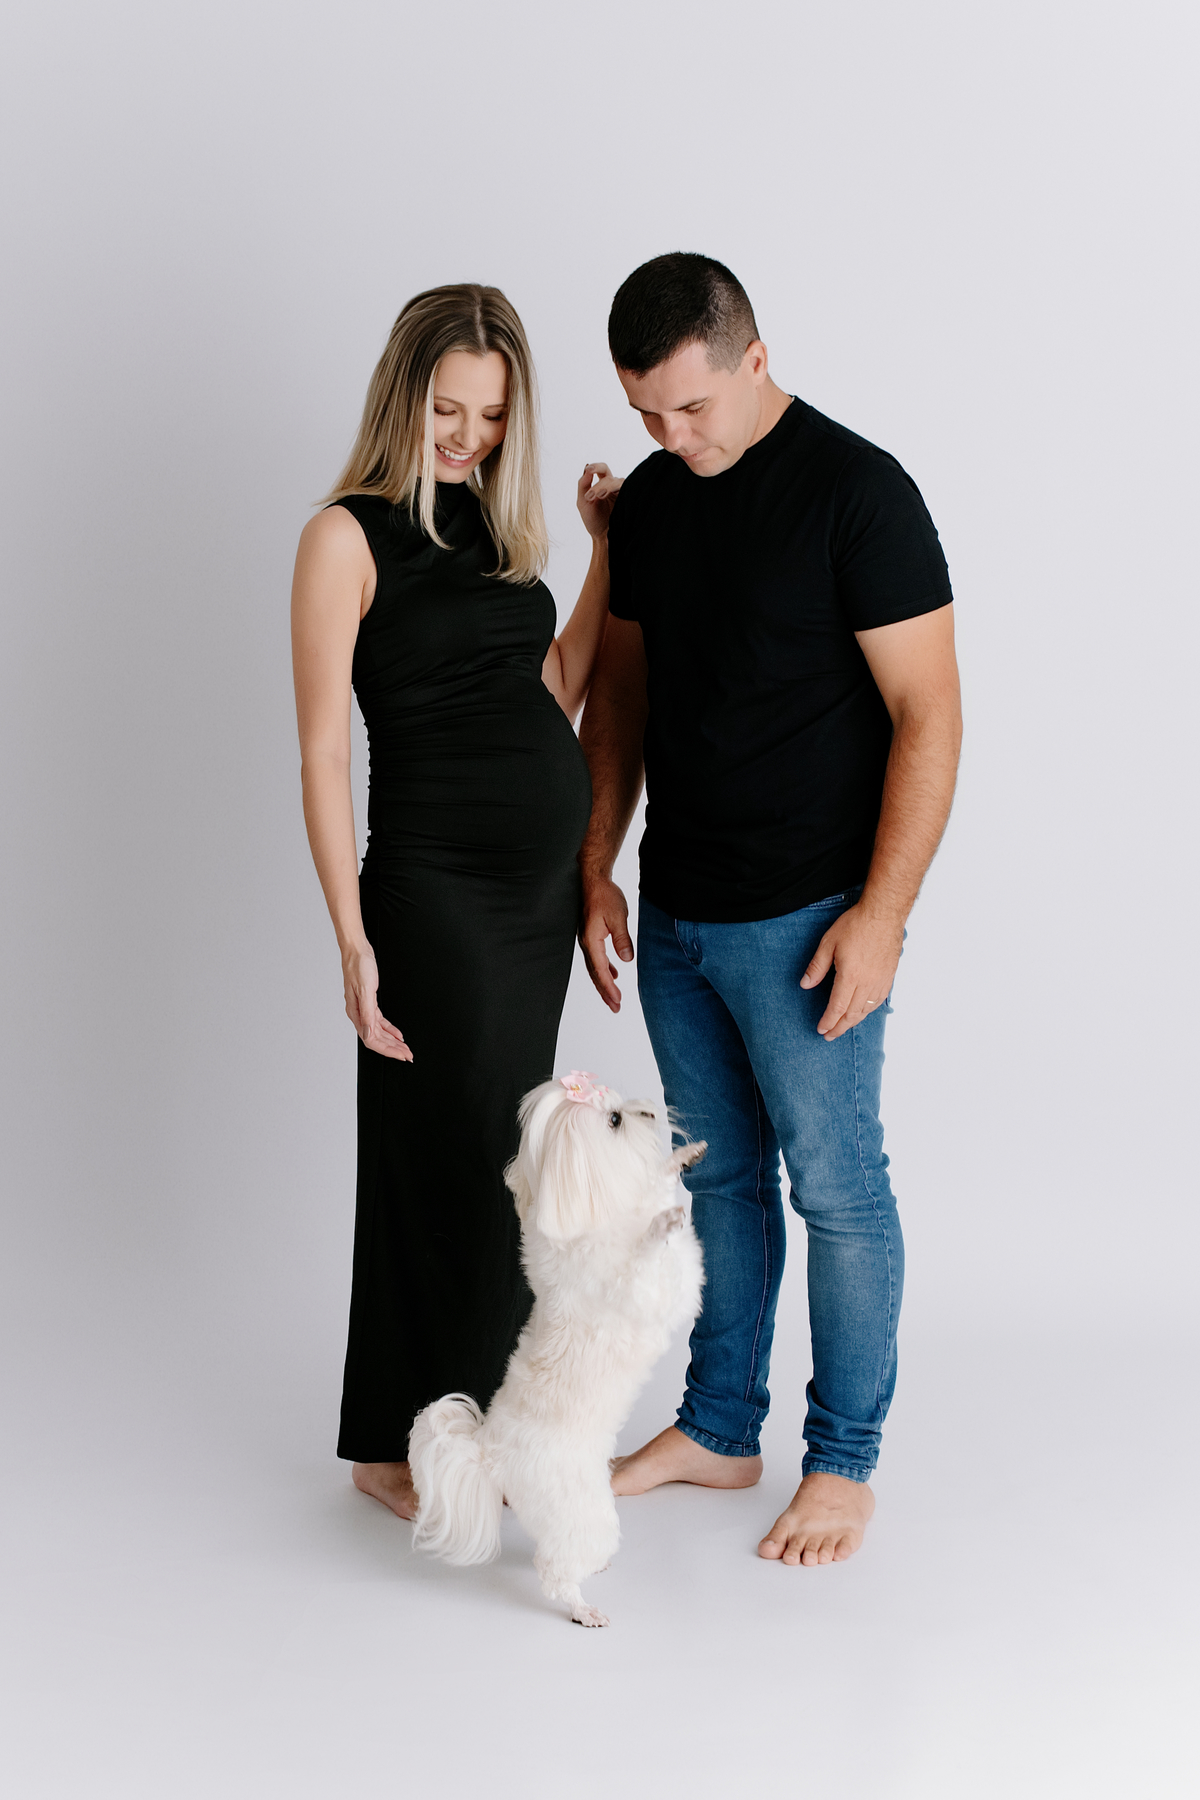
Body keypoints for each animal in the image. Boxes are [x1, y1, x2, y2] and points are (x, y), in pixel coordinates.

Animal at [408, 1072, 705, 1626]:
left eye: (621, 1106)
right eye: (614, 1120)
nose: (649, 1111)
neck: (593, 1217)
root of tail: (488, 1453)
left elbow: (655, 1188)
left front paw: (683, 1158)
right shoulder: (644, 1289)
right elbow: (650, 1254)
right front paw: (661, 1221)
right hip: (586, 1516)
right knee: (555, 1571)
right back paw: (583, 1607)